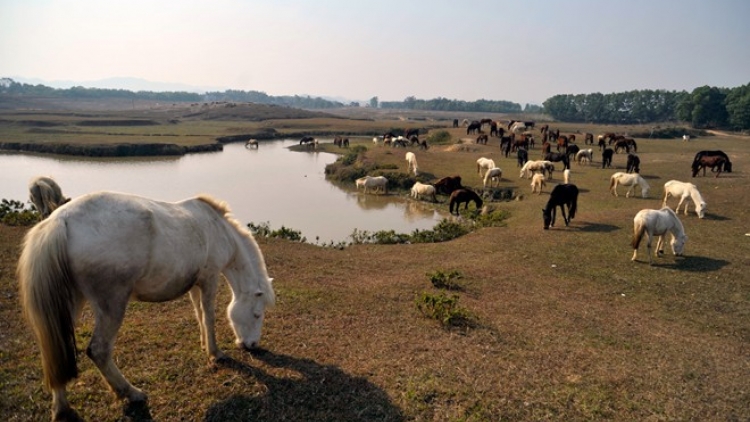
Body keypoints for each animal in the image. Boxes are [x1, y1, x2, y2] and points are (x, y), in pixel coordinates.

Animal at [17, 192, 276, 422]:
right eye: (257, 314)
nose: (252, 345)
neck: (217, 227)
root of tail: (61, 219)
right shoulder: (209, 279)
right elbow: (209, 315)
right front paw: (215, 353)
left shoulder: (194, 284)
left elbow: (199, 314)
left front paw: (204, 345)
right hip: (112, 303)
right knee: (99, 350)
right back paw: (131, 393)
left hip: (67, 304)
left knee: (57, 350)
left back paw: (62, 408)